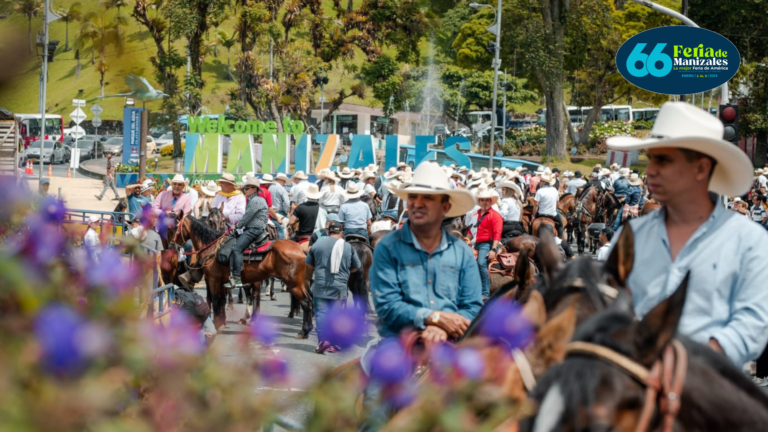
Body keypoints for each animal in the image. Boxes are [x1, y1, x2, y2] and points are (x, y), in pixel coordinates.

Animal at [172, 214, 314, 336]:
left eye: (176, 225)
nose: (173, 244)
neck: (211, 248)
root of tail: (301, 249)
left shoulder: (213, 280)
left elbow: (216, 300)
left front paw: (217, 325)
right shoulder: (220, 281)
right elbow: (221, 300)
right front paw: (222, 322)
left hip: (294, 284)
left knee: (306, 302)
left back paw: (303, 331)